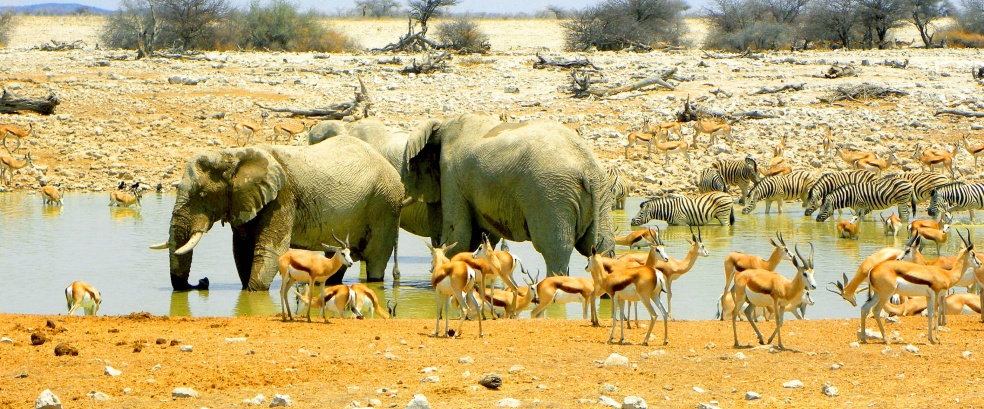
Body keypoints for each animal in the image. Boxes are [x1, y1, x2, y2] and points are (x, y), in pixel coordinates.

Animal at [151, 136, 404, 290]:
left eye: (202, 194)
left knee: (376, 261)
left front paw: (252, 293)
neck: (234, 154)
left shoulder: (281, 198)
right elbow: (242, 252)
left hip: (385, 204)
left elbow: (270, 251)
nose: (202, 282)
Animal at [400, 113, 616, 276]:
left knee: (555, 251)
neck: (442, 125)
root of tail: (588, 168)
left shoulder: (452, 175)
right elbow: (478, 240)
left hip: (552, 196)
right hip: (601, 193)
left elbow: (458, 237)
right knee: (602, 246)